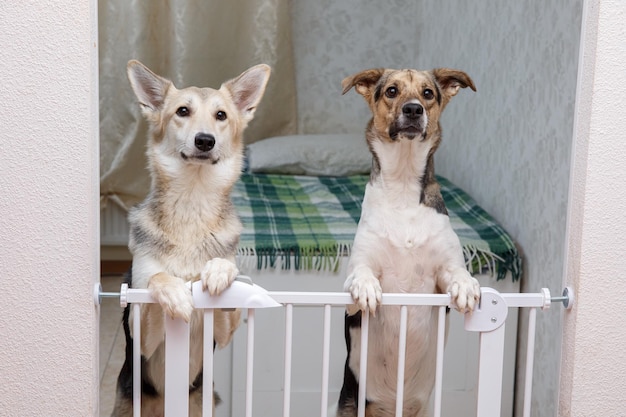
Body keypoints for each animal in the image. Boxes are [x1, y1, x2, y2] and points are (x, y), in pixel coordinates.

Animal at [113, 60, 270, 414]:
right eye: (182, 111)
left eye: (221, 115)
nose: (204, 140)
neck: (192, 204)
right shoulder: (141, 334)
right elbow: (157, 278)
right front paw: (176, 294)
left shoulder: (222, 333)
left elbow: (227, 289)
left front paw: (218, 272)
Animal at [336, 68, 478, 416]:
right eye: (391, 90)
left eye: (428, 93)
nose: (414, 109)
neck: (401, 182)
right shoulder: (352, 289)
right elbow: (361, 276)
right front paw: (367, 288)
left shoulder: (442, 274)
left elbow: (457, 272)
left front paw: (467, 285)